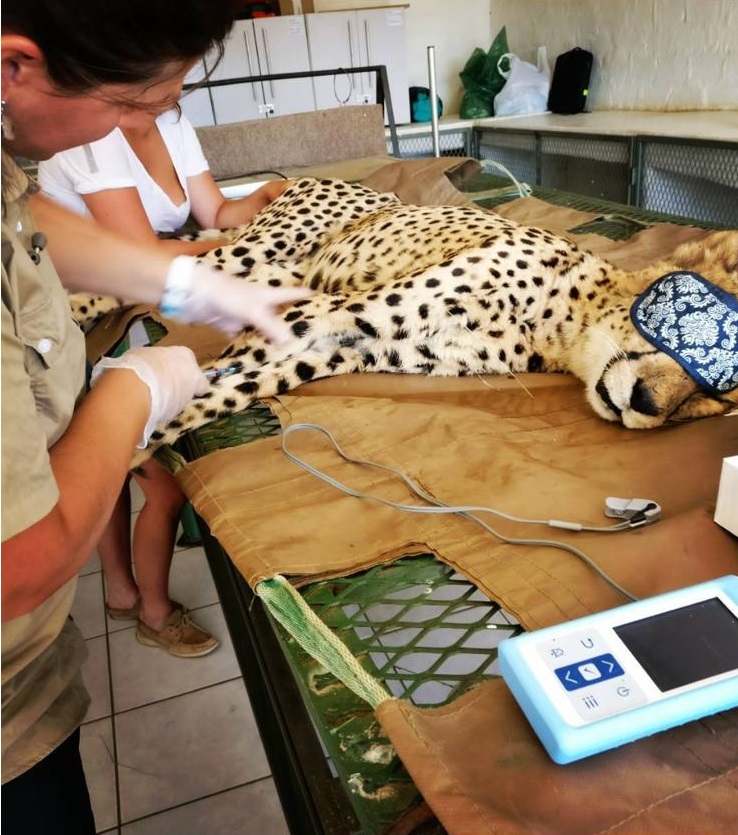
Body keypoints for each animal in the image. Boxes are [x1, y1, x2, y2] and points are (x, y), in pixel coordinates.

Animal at [76, 177, 736, 457]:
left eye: (718, 400)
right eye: (696, 324)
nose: (647, 403)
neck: (560, 325)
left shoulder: (348, 346)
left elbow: (227, 391)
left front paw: (137, 447)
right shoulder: (341, 312)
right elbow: (218, 373)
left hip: (277, 273)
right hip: (261, 251)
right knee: (173, 265)